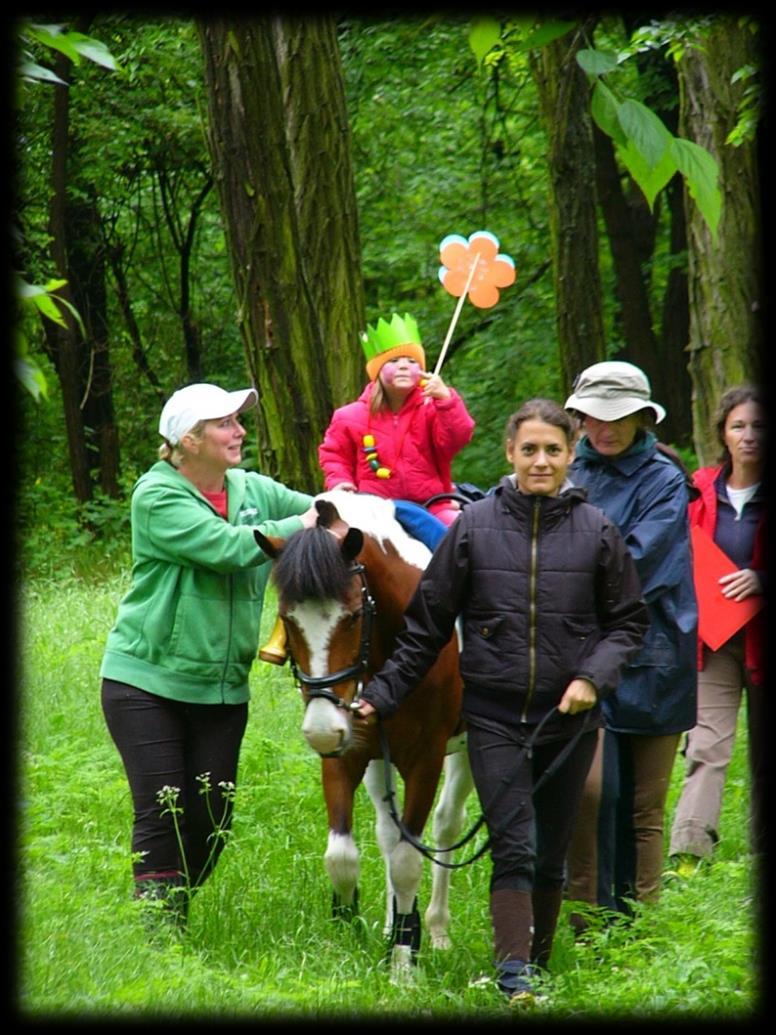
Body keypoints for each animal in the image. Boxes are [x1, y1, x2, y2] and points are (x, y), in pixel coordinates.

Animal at [256, 490, 473, 977]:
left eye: (354, 616)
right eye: (287, 619)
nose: (321, 729)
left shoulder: (426, 761)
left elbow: (409, 861)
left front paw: (404, 964)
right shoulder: (347, 755)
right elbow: (342, 857)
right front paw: (350, 931)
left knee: (446, 825)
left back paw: (436, 928)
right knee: (389, 836)